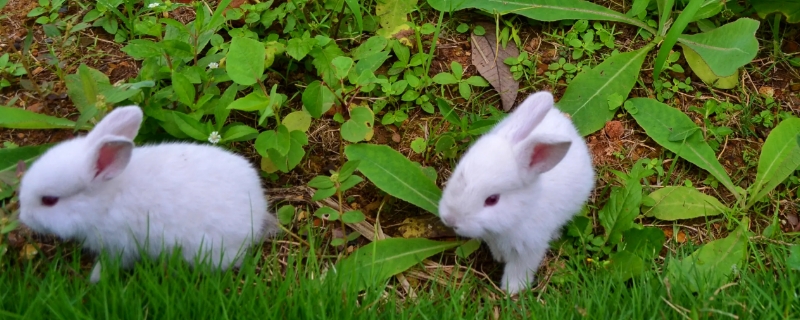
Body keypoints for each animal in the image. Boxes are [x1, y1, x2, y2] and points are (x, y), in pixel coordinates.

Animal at [17, 105, 280, 282]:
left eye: (49, 201)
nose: (23, 217)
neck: (106, 200)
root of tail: (258, 209)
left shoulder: (118, 245)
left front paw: (94, 278)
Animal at [438, 91, 592, 294]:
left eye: (492, 199)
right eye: (458, 173)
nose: (450, 219)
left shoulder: (529, 249)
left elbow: (519, 270)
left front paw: (511, 290)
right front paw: (499, 259)